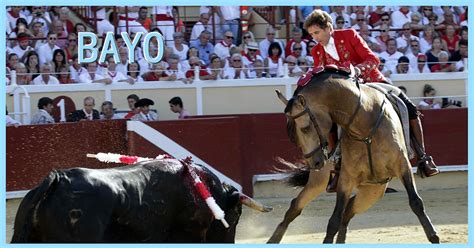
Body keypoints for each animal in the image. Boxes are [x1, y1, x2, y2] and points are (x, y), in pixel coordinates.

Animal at [268, 67, 438, 243]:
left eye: (305, 128)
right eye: (293, 135)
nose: (314, 163)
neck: (364, 126)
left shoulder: (403, 166)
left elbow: (416, 202)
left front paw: (433, 236)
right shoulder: (346, 179)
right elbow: (334, 220)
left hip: (374, 190)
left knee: (348, 210)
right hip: (323, 181)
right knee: (297, 206)